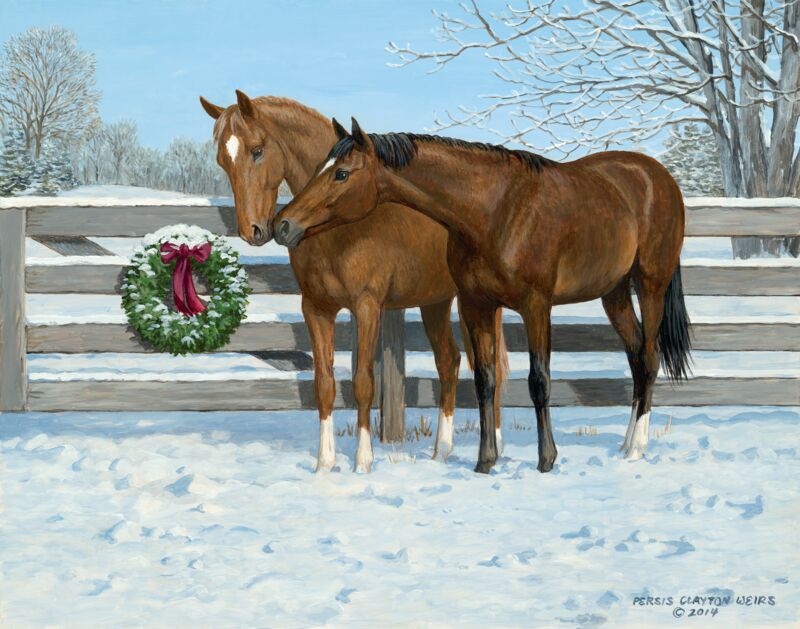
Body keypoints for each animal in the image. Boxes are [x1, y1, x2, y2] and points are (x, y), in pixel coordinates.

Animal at [199, 93, 509, 472]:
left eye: (257, 150)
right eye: (222, 160)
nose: (255, 230)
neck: (339, 228)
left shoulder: (367, 305)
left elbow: (363, 381)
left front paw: (362, 462)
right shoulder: (316, 308)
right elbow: (325, 383)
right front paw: (324, 464)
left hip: (478, 304)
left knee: (491, 367)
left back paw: (495, 447)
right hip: (435, 302)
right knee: (448, 362)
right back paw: (441, 451)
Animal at [274, 118, 691, 474]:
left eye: (342, 173)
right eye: (320, 168)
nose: (284, 225)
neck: (496, 210)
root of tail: (657, 176)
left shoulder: (536, 306)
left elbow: (539, 380)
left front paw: (546, 460)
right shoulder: (477, 304)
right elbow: (484, 380)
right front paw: (485, 461)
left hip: (650, 285)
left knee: (649, 359)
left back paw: (637, 447)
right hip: (614, 294)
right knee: (635, 358)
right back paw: (624, 444)